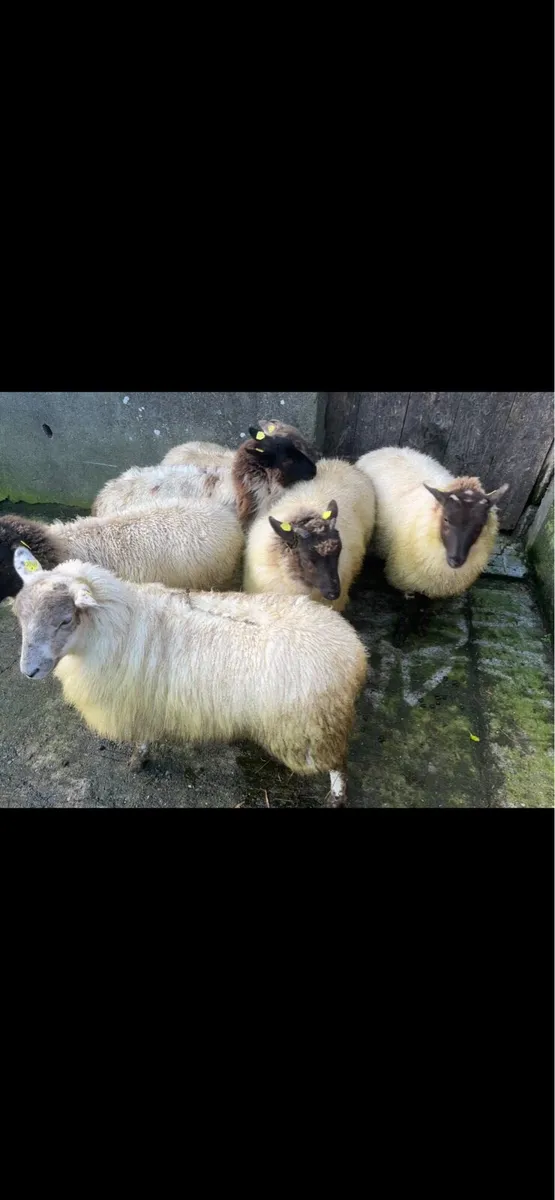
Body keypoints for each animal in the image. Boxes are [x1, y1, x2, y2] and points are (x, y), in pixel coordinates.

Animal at [12, 548, 368, 807]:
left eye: (65, 620)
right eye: (20, 617)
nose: (28, 671)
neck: (113, 627)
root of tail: (354, 649)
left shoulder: (138, 702)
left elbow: (142, 740)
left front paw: (137, 761)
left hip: (315, 727)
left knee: (339, 763)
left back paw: (336, 797)